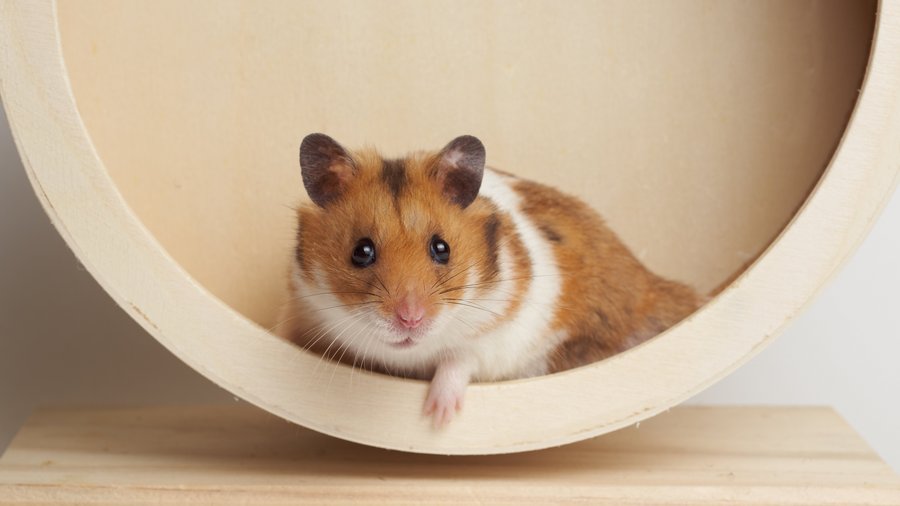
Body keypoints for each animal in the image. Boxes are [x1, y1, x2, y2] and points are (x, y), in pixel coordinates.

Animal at [279, 133, 702, 426]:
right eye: (361, 251)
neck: (411, 353)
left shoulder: (499, 334)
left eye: (442, 248)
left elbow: (459, 359)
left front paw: (437, 418)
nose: (410, 319)